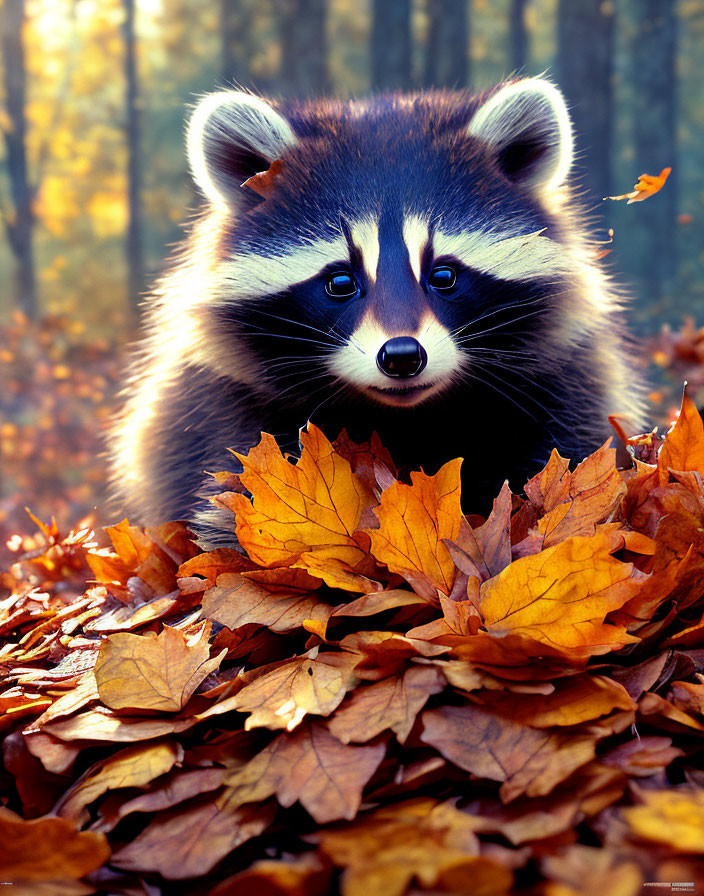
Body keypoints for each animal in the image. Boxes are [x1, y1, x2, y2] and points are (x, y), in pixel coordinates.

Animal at [110, 79, 644, 540]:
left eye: (443, 276)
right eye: (341, 282)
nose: (403, 356)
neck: (405, 418)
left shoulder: (563, 381)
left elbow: (566, 457)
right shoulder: (215, 405)